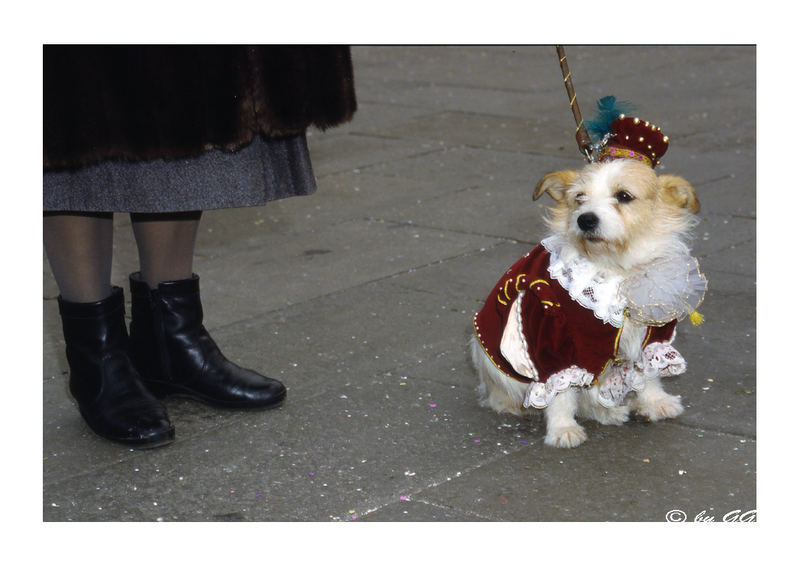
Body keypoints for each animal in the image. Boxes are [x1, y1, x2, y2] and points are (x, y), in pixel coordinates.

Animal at [468, 114, 708, 448]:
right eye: (579, 198)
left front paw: (655, 402)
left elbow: (649, 370)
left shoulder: (653, 333)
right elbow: (559, 391)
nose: (585, 219)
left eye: (623, 196)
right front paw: (562, 429)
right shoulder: (552, 342)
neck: (616, 268)